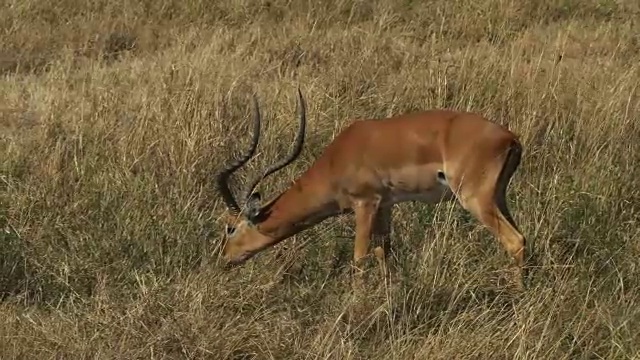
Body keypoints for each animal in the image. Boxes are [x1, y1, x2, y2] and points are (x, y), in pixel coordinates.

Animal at [218, 88, 528, 288]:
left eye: (230, 227)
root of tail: (510, 137)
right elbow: (383, 253)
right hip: (498, 198)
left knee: (515, 241)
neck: (337, 160)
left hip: (474, 200)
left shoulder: (365, 203)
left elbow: (358, 258)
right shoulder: (385, 205)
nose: (224, 260)